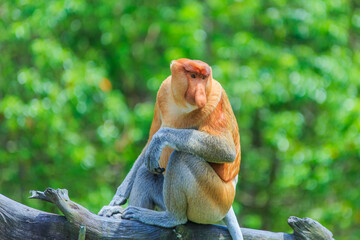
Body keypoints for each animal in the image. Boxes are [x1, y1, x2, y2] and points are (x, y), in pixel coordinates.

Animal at [99, 58, 242, 240]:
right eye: (193, 76)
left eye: (203, 78)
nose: (200, 94)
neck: (182, 104)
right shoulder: (164, 90)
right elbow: (148, 146)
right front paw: (117, 200)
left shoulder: (215, 97)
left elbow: (226, 150)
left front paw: (161, 137)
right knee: (146, 171)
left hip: (214, 201)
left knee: (181, 157)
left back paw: (170, 217)